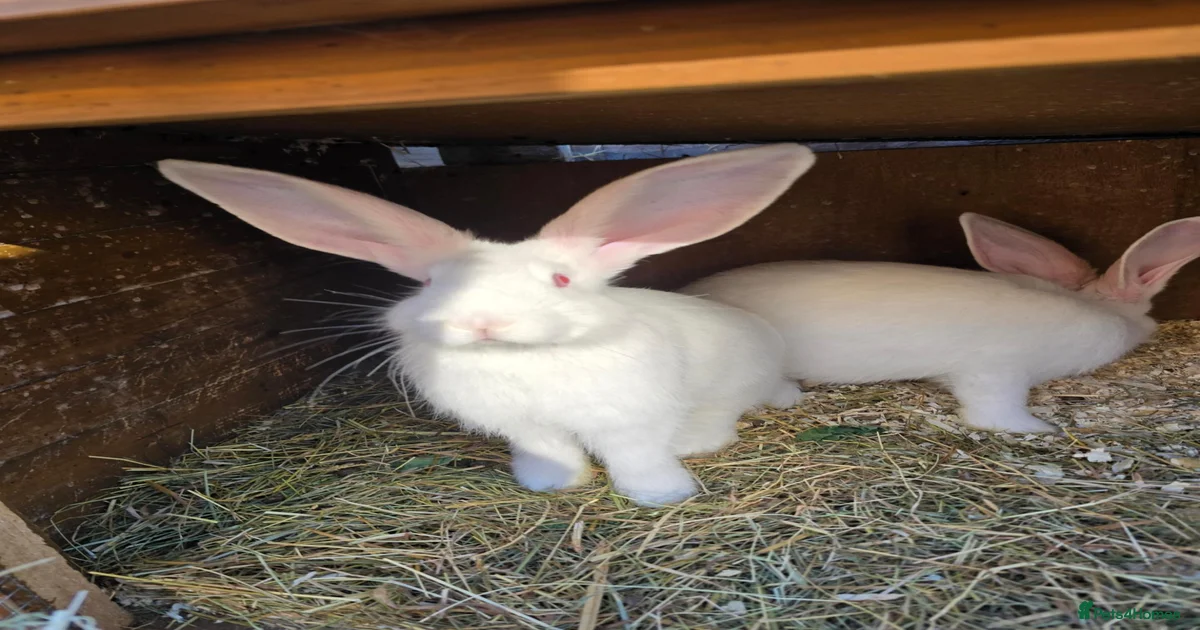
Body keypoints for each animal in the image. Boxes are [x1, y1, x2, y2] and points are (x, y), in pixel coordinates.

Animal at [157, 144, 816, 505]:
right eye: (430, 284)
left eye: (560, 280)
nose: (480, 322)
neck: (518, 359)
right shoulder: (525, 427)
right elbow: (551, 451)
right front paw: (551, 484)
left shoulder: (631, 421)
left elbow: (638, 457)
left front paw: (660, 496)